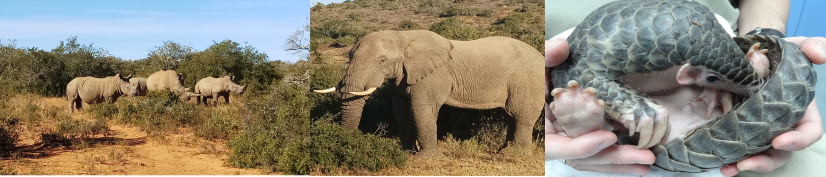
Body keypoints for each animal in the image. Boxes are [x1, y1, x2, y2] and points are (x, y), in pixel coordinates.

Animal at [312, 29, 544, 154]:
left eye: (382, 61)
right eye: (349, 56)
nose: (345, 142)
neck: (404, 38)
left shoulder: (432, 76)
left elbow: (420, 108)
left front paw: (426, 157)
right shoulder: (404, 76)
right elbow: (401, 109)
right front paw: (406, 153)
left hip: (528, 82)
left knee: (520, 116)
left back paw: (514, 155)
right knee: (511, 117)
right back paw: (503, 151)